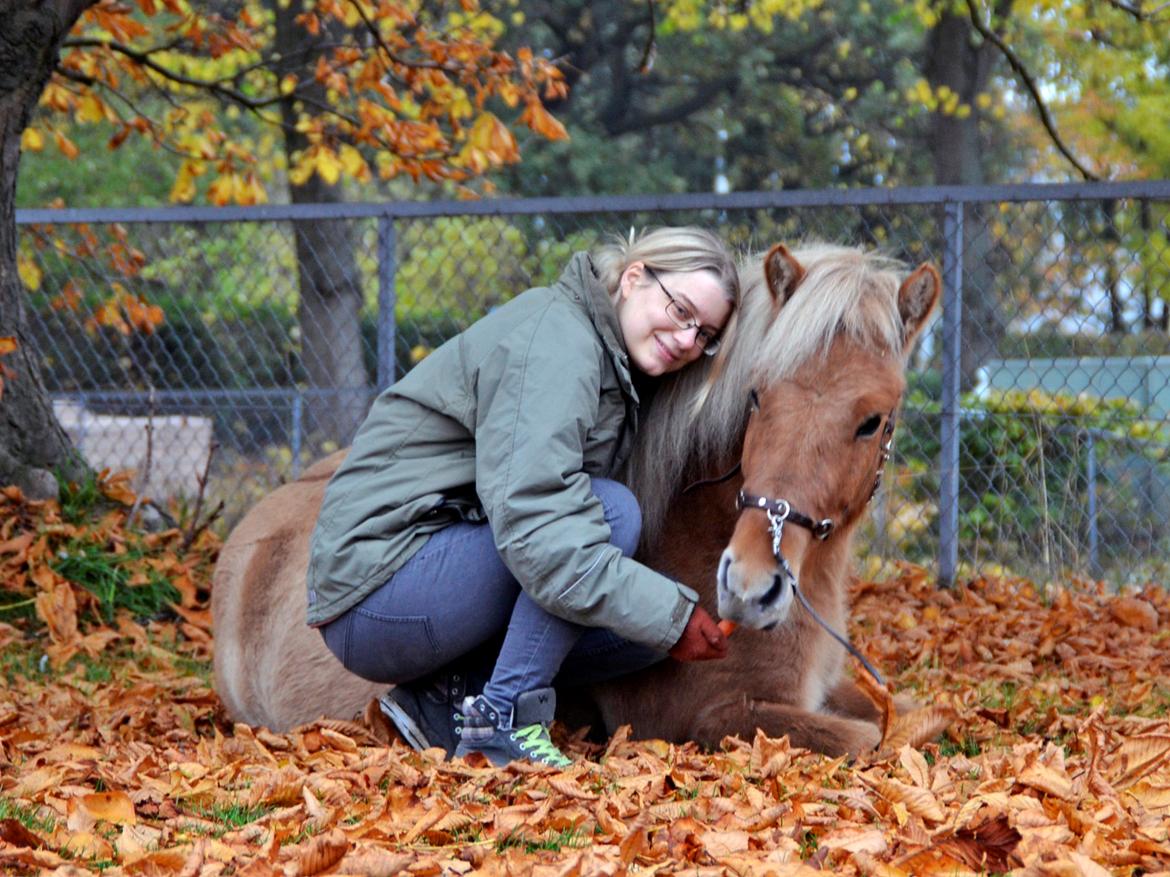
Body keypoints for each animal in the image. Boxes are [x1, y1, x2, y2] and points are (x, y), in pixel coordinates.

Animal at [212, 244, 940, 757]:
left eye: (872, 420)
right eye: (757, 395)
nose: (750, 586)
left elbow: (912, 717)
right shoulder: (715, 716)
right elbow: (870, 738)